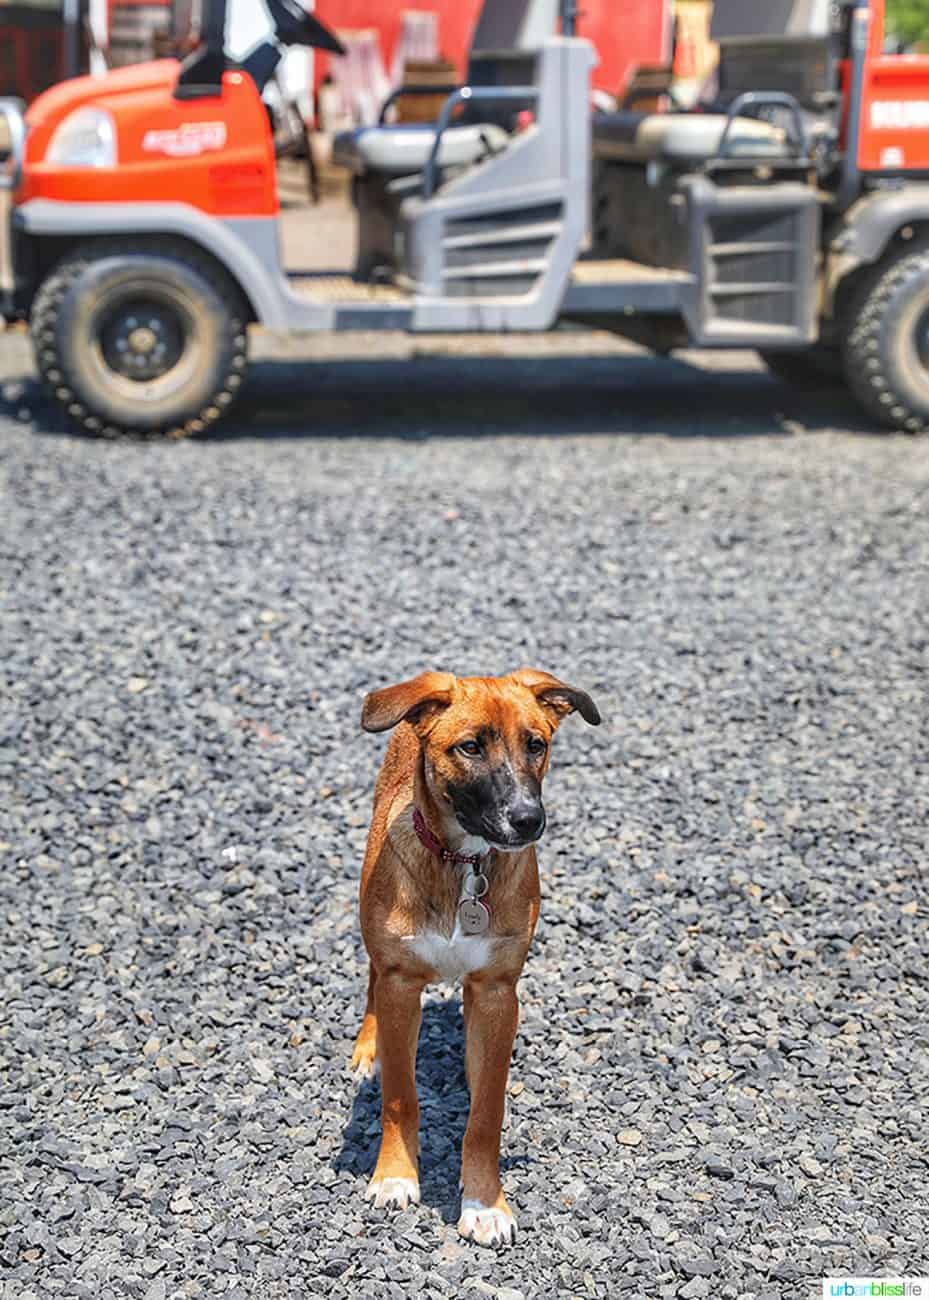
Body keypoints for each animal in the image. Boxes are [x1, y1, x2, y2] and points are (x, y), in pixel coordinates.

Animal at [350, 676, 602, 1242]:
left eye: (536, 744)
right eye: (469, 747)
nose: (529, 820)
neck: (463, 863)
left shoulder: (496, 991)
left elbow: (486, 1114)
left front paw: (484, 1204)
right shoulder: (401, 981)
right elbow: (400, 1097)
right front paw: (395, 1176)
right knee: (372, 977)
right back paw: (367, 1049)